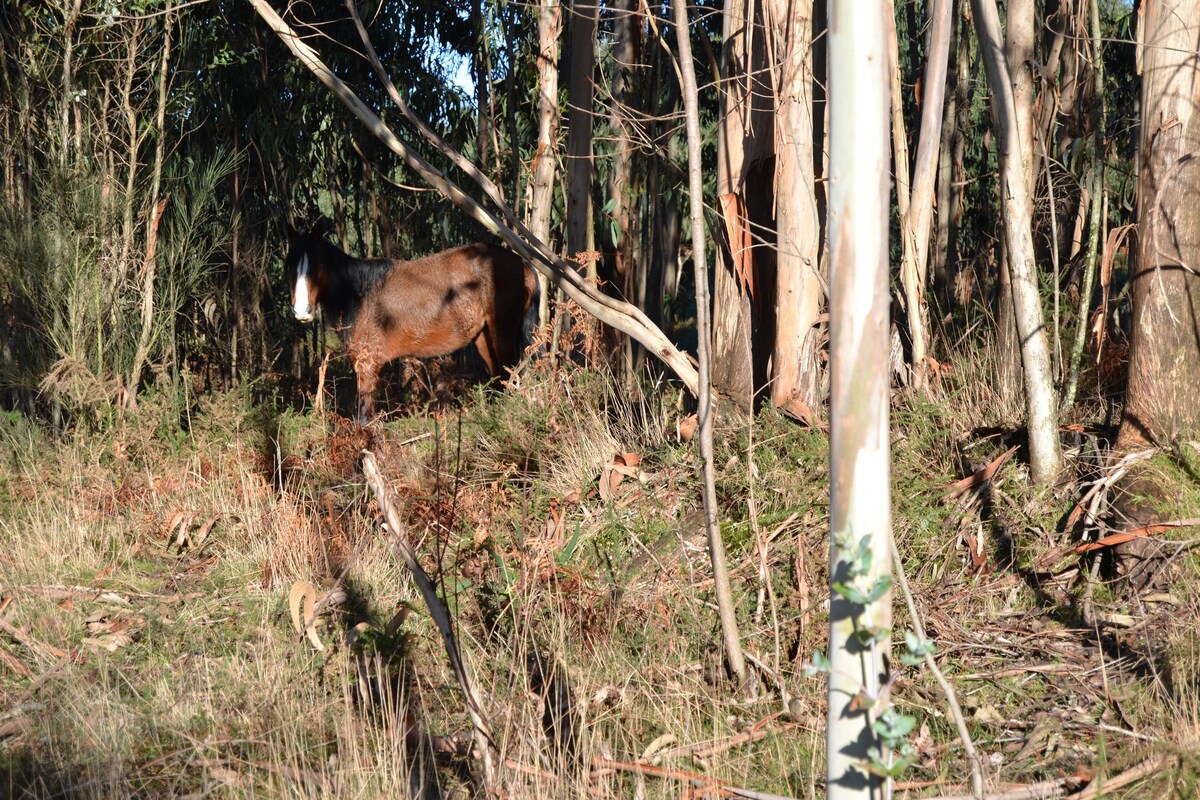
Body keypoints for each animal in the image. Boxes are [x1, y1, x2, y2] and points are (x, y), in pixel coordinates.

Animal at [285, 221, 540, 422]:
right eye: (289, 264)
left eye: (317, 264)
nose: (302, 311)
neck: (359, 294)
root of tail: (523, 264)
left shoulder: (367, 366)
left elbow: (364, 419)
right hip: (483, 338)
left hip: (502, 335)